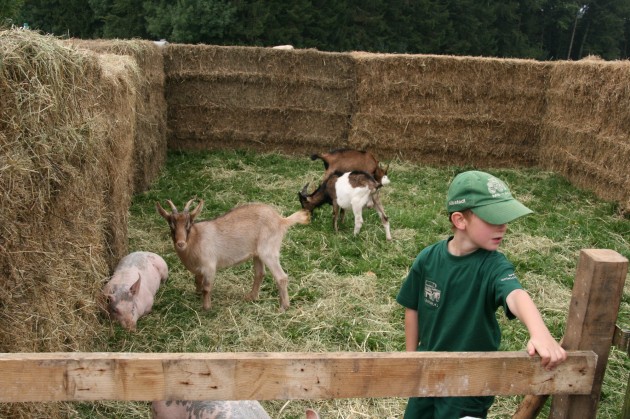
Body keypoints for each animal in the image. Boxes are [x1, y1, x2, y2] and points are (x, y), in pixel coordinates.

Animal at [156, 200, 308, 312]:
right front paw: (197, 294)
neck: (196, 238)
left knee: (281, 277)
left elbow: (207, 287)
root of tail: (281, 220)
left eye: (189, 224)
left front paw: (206, 308)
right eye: (171, 225)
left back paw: (283, 307)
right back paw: (251, 297)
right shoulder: (199, 268)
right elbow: (197, 281)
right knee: (260, 273)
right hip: (257, 254)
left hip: (268, 251)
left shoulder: (209, 266)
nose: (181, 243)